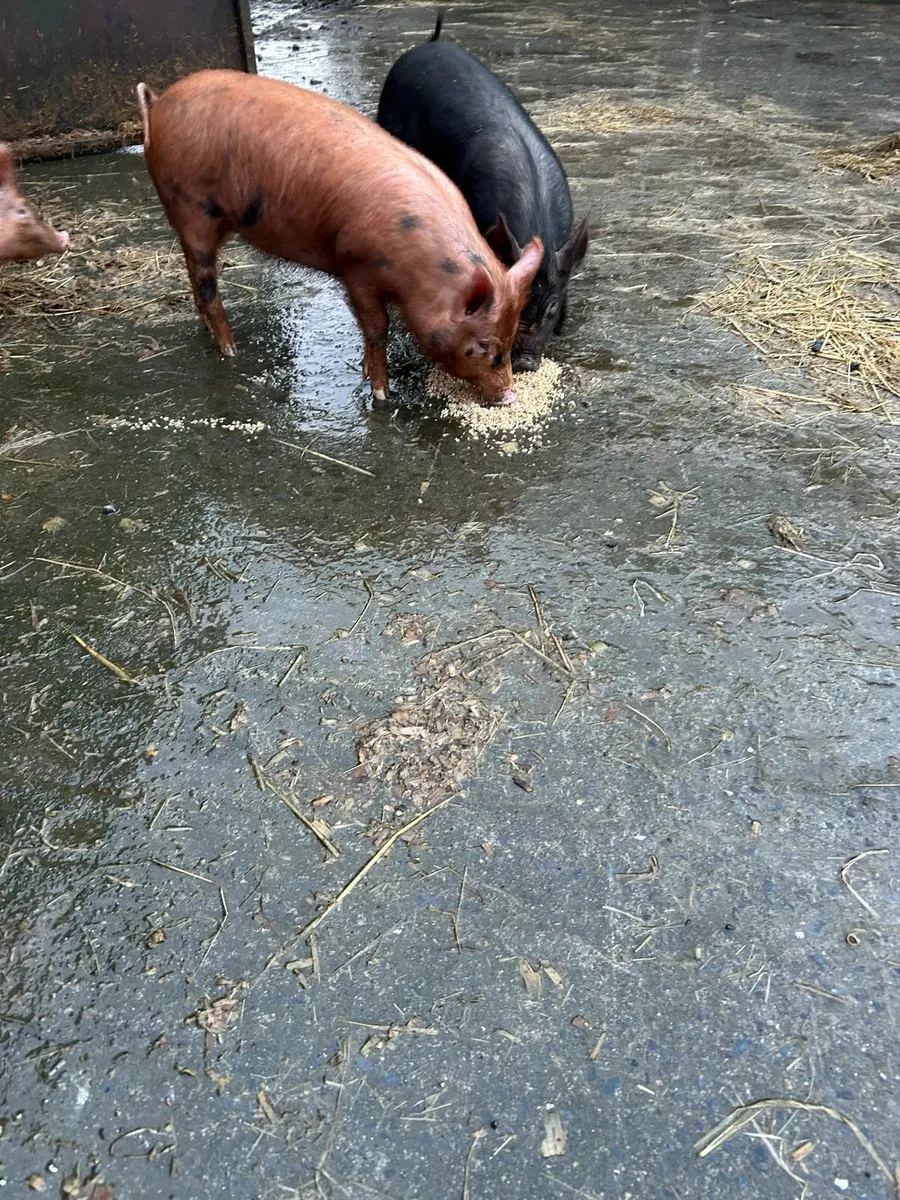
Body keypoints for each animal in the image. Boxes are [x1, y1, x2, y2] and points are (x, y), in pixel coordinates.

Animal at [136, 70, 543, 405]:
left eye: (511, 335)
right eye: (483, 346)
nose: (509, 395)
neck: (417, 270)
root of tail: (158, 103)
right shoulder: (357, 267)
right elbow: (377, 329)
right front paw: (380, 393)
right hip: (189, 209)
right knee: (206, 284)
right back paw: (230, 350)